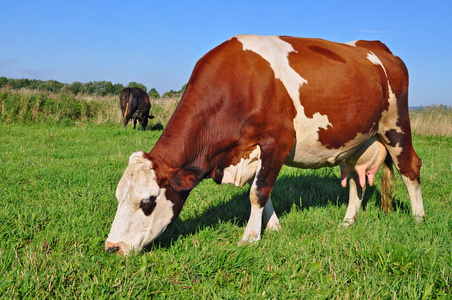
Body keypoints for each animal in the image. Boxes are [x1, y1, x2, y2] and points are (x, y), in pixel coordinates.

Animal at [105, 35, 424, 255]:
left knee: (410, 167)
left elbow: (258, 192)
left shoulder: (276, 143)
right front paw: (272, 227)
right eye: (119, 197)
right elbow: (262, 190)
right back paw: (348, 222)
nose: (112, 247)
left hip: (396, 126)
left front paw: (249, 237)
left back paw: (418, 218)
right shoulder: (253, 152)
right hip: (358, 141)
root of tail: (376, 47)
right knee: (358, 182)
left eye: (147, 201)